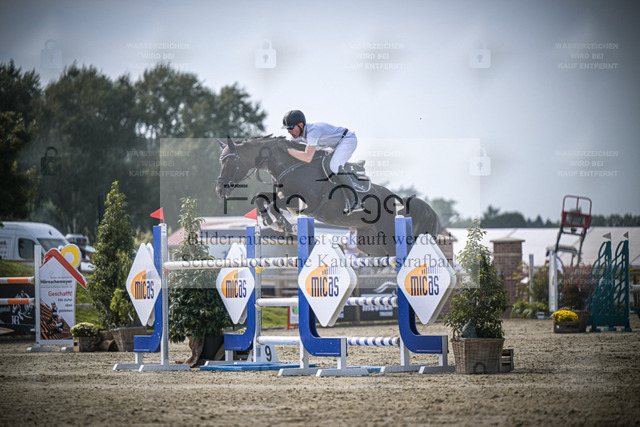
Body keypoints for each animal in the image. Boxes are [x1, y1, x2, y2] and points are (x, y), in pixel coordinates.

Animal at [215, 135, 442, 257]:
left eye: (230, 162)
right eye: (220, 161)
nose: (220, 190)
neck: (290, 165)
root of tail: (398, 200)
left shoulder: (306, 202)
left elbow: (274, 203)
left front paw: (281, 224)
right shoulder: (284, 194)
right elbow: (262, 198)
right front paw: (274, 222)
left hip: (389, 235)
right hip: (370, 243)